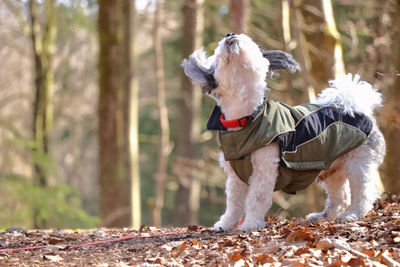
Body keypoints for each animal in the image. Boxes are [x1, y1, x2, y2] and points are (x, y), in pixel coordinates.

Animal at [180, 33, 384, 231]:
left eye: (249, 41)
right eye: (218, 55)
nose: (229, 35)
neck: (246, 119)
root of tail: (353, 105)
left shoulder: (264, 169)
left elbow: (256, 198)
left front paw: (250, 224)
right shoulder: (235, 177)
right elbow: (234, 203)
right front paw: (226, 224)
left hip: (358, 163)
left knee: (364, 193)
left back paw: (353, 214)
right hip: (332, 168)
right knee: (340, 197)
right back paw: (323, 216)